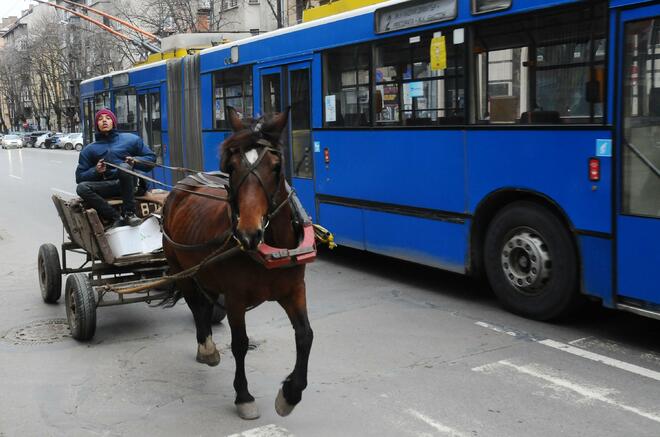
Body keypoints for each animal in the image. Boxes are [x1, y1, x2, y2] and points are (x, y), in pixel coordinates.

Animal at [161, 107, 314, 418]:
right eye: (231, 168)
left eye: (276, 166)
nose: (248, 233)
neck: (271, 247)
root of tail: (182, 185)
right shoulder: (235, 298)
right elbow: (240, 343)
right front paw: (243, 396)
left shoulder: (294, 290)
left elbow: (305, 335)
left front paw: (290, 394)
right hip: (182, 270)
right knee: (195, 305)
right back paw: (206, 348)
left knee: (204, 305)